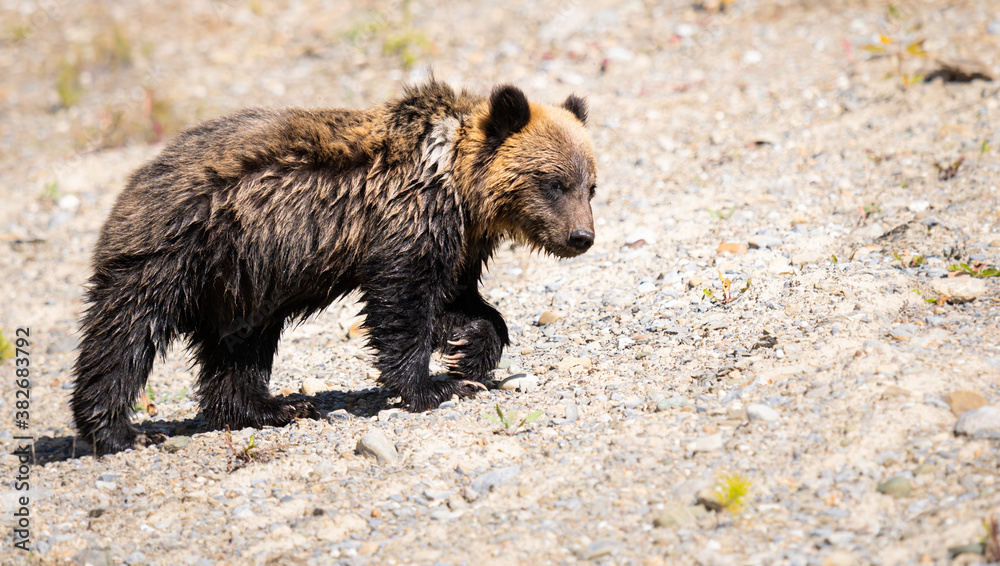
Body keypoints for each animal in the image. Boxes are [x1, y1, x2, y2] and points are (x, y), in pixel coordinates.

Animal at [71, 80, 597, 455]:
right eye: (553, 181)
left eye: (590, 184)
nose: (581, 236)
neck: (458, 188)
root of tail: (137, 179)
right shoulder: (404, 222)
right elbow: (400, 305)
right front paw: (433, 386)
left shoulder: (458, 243)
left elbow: (459, 303)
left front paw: (466, 352)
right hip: (176, 254)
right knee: (125, 336)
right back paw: (119, 431)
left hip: (243, 283)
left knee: (238, 347)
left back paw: (274, 406)